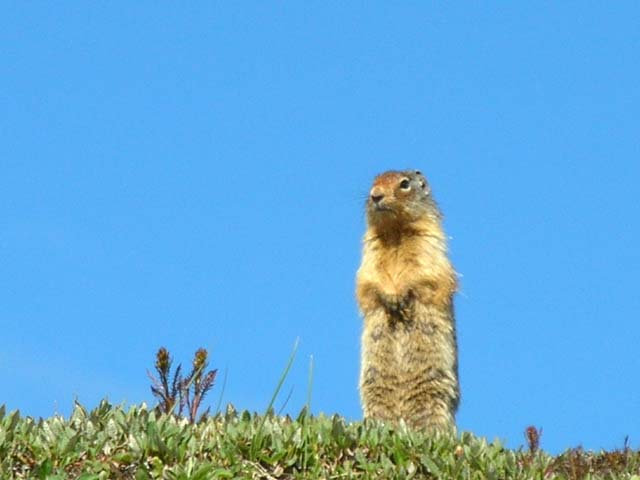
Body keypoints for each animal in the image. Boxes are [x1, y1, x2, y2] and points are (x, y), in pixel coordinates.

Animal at [356, 170, 460, 432]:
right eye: (373, 183)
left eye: (404, 184)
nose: (375, 196)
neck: (395, 231)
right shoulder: (369, 252)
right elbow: (368, 278)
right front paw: (389, 297)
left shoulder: (429, 243)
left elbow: (424, 272)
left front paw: (401, 295)